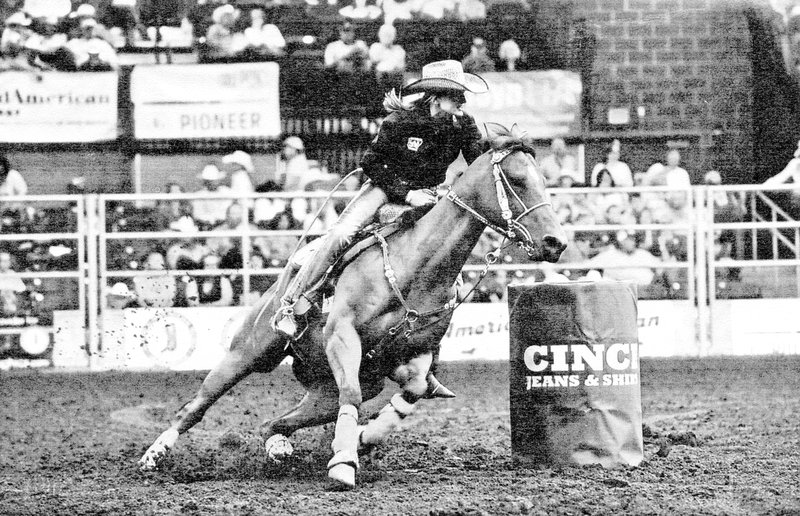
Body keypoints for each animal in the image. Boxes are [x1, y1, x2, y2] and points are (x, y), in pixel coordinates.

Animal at [138, 124, 564, 488]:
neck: (417, 265)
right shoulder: (342, 335)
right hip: (248, 351)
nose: (556, 243)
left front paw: (362, 440)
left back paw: (279, 446)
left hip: (328, 387)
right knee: (196, 405)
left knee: (276, 422)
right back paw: (153, 455)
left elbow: (411, 389)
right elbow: (355, 398)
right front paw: (344, 463)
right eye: (518, 180)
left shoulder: (416, 352)